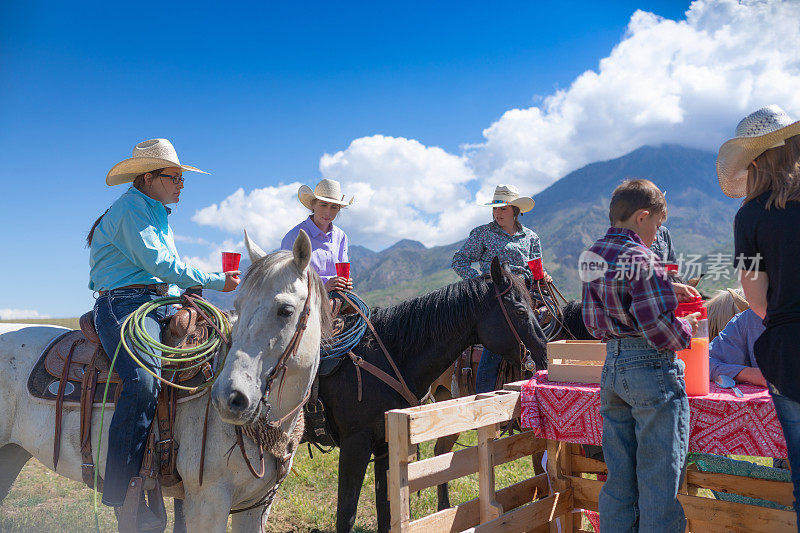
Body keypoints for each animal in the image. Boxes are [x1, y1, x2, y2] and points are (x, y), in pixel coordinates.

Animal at [0, 231, 328, 528]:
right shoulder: (207, 503)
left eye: (286, 310)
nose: (229, 398)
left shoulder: (257, 506)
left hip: (12, 454)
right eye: (239, 305)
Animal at [314, 256, 552, 528]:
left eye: (536, 308)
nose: (546, 354)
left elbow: (384, 510)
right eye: (521, 311)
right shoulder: (355, 444)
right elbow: (346, 514)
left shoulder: (383, 445)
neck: (383, 356)